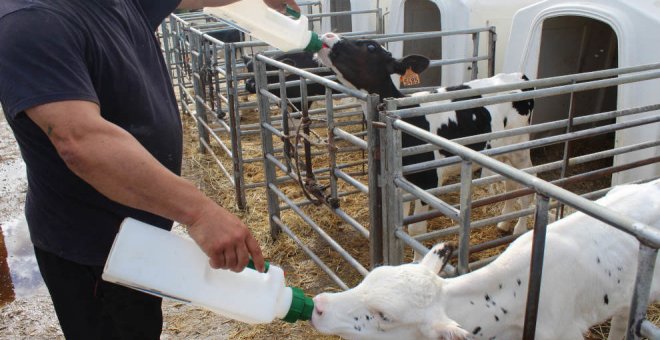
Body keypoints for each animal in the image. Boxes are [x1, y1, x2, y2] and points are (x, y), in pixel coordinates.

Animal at [318, 33, 540, 258]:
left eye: (371, 46)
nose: (328, 35)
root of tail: (519, 75)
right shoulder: (400, 182)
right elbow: (401, 224)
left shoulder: (428, 181)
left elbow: (416, 230)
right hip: (503, 151)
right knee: (511, 185)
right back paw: (504, 223)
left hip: (521, 147)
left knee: (528, 185)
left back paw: (519, 229)